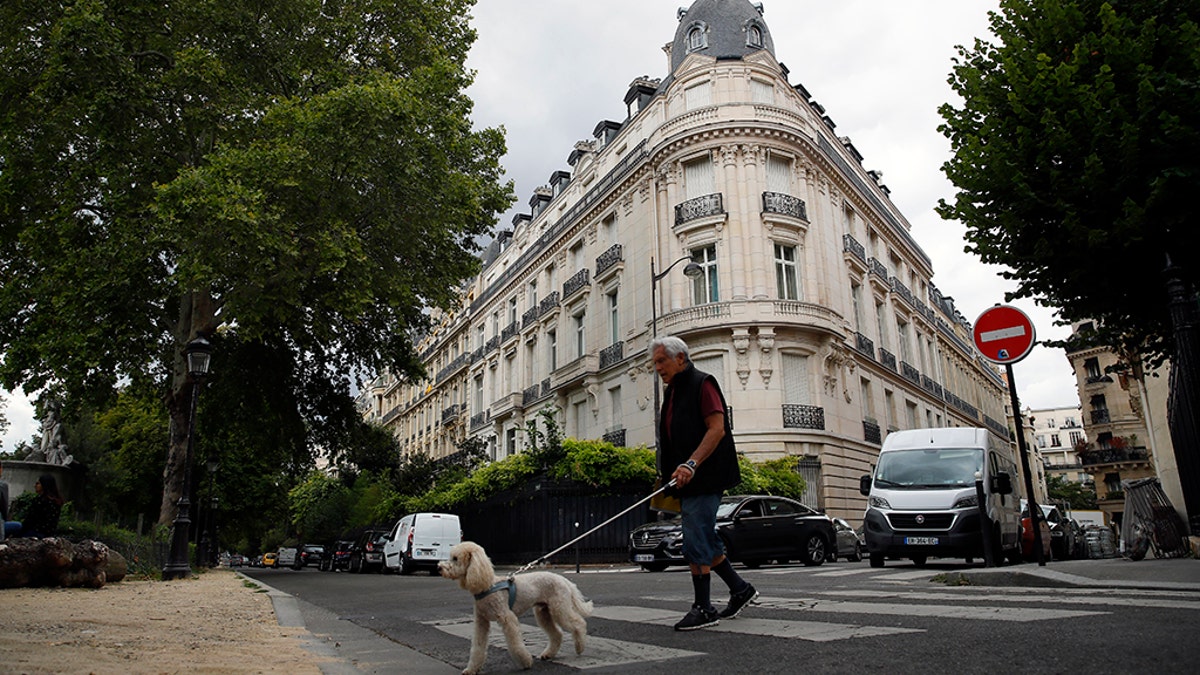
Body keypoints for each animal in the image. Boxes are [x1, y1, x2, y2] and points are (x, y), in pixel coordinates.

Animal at [439, 540, 592, 672]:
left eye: (455, 558)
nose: (439, 567)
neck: (487, 585)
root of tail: (564, 580)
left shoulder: (507, 618)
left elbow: (515, 644)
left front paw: (525, 662)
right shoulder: (481, 621)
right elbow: (478, 646)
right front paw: (471, 670)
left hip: (559, 608)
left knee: (579, 623)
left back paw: (580, 647)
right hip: (543, 611)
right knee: (557, 633)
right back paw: (548, 654)